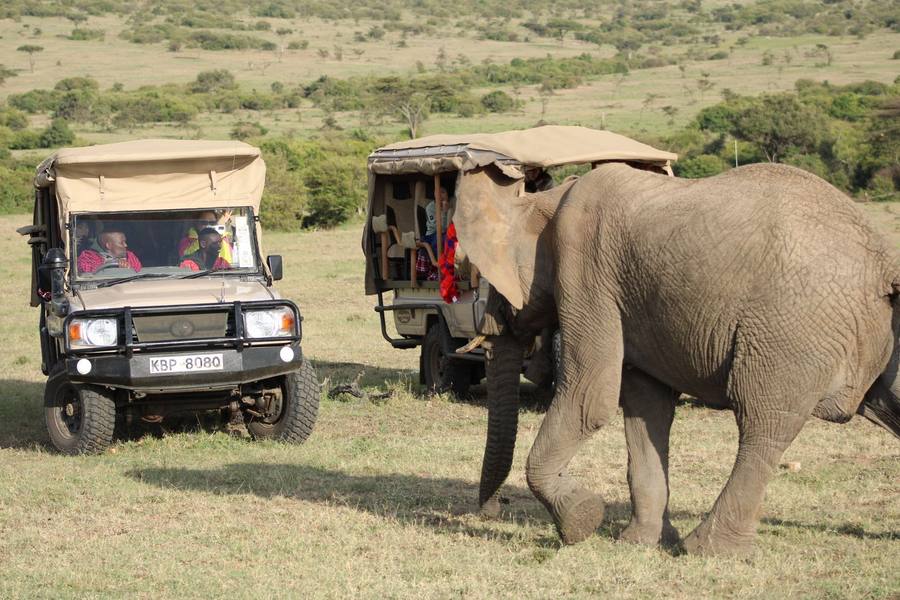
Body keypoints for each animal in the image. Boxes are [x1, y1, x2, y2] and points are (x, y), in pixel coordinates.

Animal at [453, 161, 900, 556]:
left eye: (493, 285)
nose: (491, 512)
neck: (546, 200)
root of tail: (882, 260)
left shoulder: (586, 270)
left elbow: (590, 398)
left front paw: (581, 522)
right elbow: (645, 408)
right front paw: (637, 544)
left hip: (789, 330)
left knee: (763, 424)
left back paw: (708, 550)